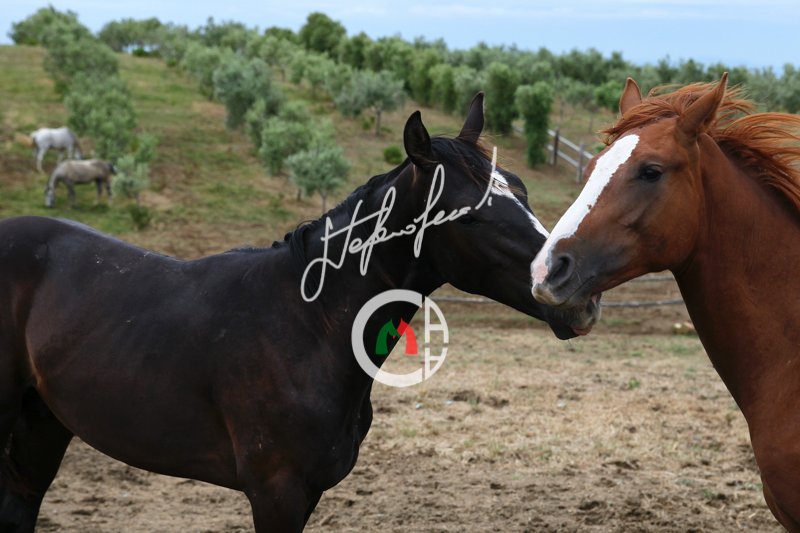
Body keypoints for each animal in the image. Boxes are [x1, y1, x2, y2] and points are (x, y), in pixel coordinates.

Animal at [0, 94, 599, 532]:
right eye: (467, 216)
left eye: (520, 190)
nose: (579, 294)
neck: (308, 326)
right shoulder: (277, 493)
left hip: (41, 425)